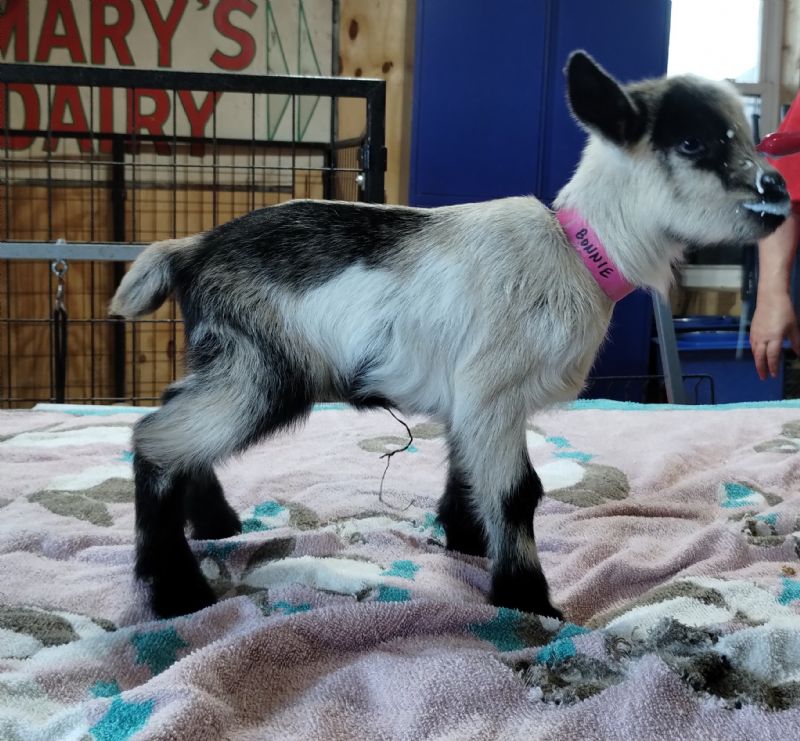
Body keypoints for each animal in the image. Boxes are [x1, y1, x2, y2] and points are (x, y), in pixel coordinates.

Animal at [110, 51, 790, 620]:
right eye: (692, 140)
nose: (776, 187)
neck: (577, 252)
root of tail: (192, 249)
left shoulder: (473, 400)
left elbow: (466, 469)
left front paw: (465, 542)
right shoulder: (494, 390)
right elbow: (519, 491)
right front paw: (528, 600)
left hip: (225, 361)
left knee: (176, 422)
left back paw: (217, 525)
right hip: (261, 369)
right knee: (157, 441)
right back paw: (178, 592)